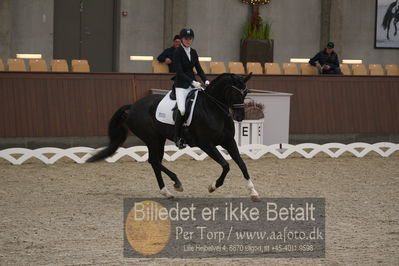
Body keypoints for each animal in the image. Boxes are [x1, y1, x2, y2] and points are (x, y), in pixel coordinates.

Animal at [88, 71, 260, 201]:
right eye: (234, 92)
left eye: (245, 92)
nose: (240, 117)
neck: (213, 108)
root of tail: (133, 106)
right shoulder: (206, 144)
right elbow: (226, 165)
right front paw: (213, 186)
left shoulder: (228, 141)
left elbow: (242, 164)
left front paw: (253, 191)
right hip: (152, 139)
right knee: (153, 161)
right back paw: (176, 183)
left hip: (159, 140)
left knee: (155, 162)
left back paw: (167, 192)